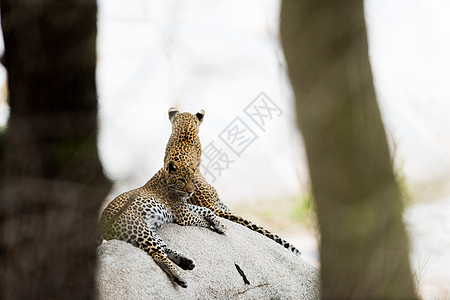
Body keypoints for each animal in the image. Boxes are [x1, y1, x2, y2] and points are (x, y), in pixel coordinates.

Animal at [97, 108, 225, 288]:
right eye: (182, 180)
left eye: (193, 180)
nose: (191, 192)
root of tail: (101, 222)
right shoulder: (184, 215)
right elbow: (201, 219)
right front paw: (212, 225)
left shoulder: (186, 206)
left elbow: (207, 211)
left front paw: (220, 225)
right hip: (140, 230)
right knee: (157, 254)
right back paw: (179, 277)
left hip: (150, 231)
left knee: (163, 249)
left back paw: (185, 262)